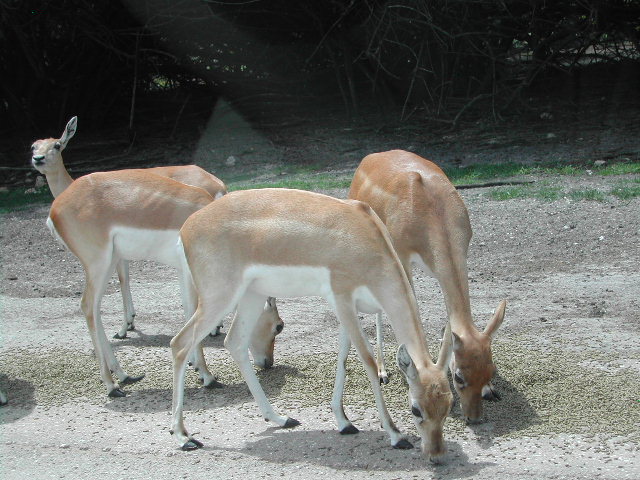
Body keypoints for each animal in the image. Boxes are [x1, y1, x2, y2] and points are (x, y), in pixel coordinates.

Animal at [31, 116, 230, 340]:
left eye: (57, 145)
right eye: (33, 146)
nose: (38, 159)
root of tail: (218, 184)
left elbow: (123, 279)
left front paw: (124, 328)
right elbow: (124, 279)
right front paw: (130, 323)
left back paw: (213, 329)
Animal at [47, 169, 282, 398]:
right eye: (279, 326)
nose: (268, 363)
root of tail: (56, 207)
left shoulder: (182, 270)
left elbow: (187, 310)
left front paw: (196, 367)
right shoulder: (191, 271)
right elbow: (193, 313)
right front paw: (207, 376)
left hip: (110, 261)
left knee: (95, 310)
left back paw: (123, 375)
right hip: (99, 263)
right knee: (88, 305)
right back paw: (112, 386)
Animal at [168, 189, 452, 464]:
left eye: (448, 405)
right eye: (415, 408)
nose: (436, 455)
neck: (366, 237)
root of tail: (187, 227)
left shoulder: (347, 308)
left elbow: (342, 359)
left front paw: (344, 422)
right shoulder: (342, 298)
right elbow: (368, 362)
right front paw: (396, 436)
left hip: (252, 295)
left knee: (234, 341)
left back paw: (280, 418)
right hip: (220, 296)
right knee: (180, 343)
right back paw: (184, 437)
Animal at [348, 150, 508, 424]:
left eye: (491, 369)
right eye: (459, 376)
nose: (474, 417)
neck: (431, 210)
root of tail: (370, 158)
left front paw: (491, 390)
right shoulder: (402, 258)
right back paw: (382, 372)